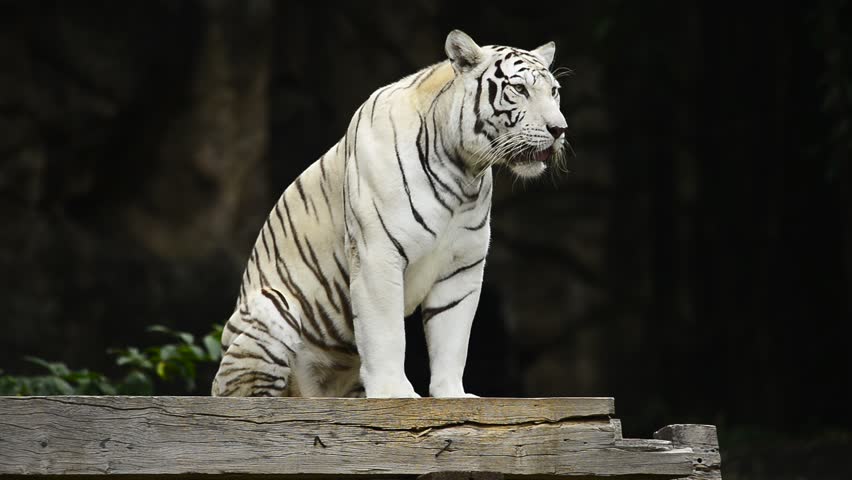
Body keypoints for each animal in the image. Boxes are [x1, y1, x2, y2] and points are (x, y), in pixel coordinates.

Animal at [211, 30, 568, 398]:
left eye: (554, 91)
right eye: (520, 89)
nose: (560, 129)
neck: (464, 172)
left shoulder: (462, 266)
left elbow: (453, 337)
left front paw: (452, 394)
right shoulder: (377, 253)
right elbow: (387, 332)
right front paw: (393, 392)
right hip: (270, 310)